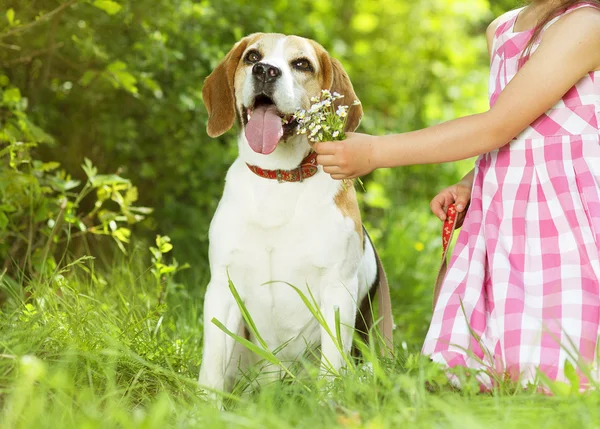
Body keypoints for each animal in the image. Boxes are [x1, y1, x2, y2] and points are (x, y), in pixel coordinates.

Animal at [198, 33, 394, 398]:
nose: (265, 71)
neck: (279, 179)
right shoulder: (222, 288)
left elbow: (331, 365)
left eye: (301, 64)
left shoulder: (336, 291)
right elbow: (211, 368)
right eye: (252, 56)